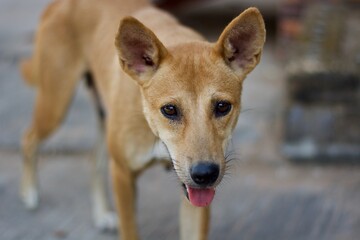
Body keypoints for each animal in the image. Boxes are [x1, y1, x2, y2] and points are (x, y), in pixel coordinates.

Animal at [20, 0, 264, 238]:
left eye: (222, 106)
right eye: (169, 109)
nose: (205, 174)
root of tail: (59, 3)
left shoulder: (194, 194)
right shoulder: (122, 174)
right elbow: (130, 230)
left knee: (93, 159)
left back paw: (101, 215)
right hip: (55, 106)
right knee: (29, 138)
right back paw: (30, 193)